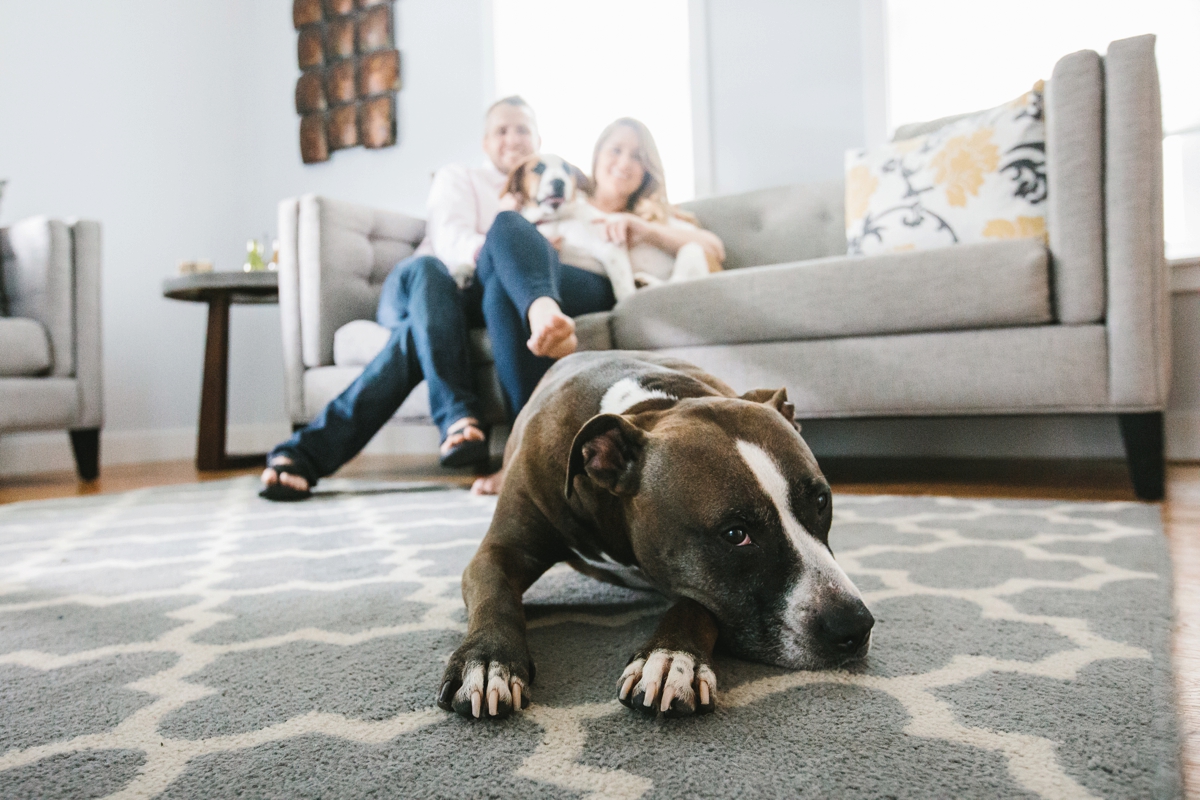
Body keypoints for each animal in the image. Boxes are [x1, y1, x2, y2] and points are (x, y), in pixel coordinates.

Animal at [441, 350, 873, 719]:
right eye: (736, 534)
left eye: (821, 500)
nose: (854, 627)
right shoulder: (501, 551)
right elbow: (495, 595)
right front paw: (489, 660)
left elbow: (696, 604)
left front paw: (672, 659)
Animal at [504, 154, 710, 303]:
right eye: (538, 168)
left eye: (566, 170)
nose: (559, 182)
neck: (556, 220)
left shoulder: (611, 247)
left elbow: (624, 291)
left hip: (691, 247)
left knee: (679, 281)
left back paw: (648, 283)